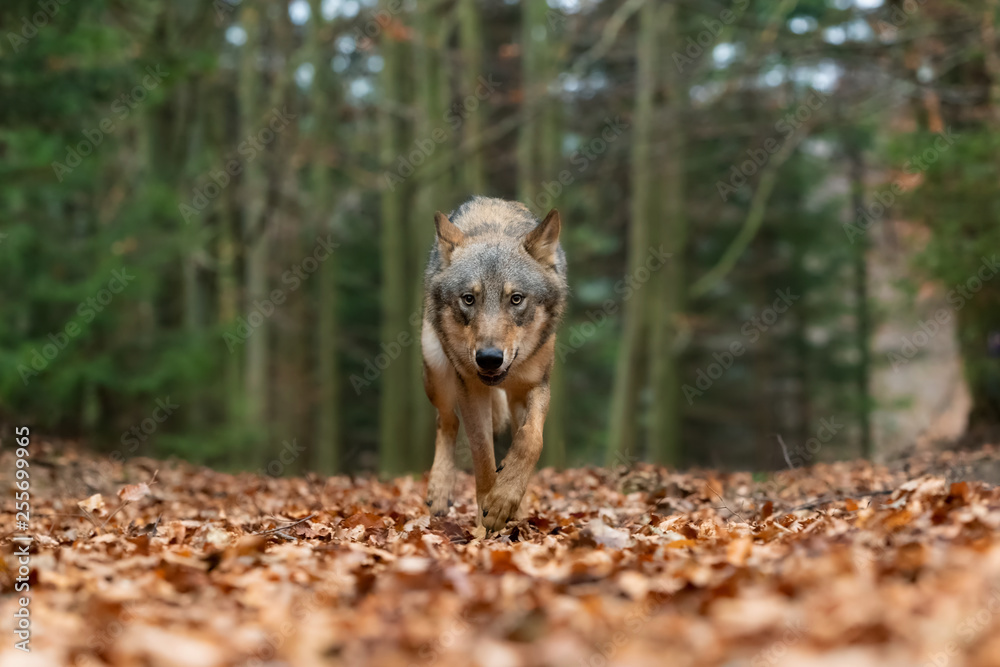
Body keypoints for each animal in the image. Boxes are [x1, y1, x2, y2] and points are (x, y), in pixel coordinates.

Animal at [421, 197, 567, 531]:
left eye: (516, 298)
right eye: (468, 299)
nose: (488, 359)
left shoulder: (535, 385)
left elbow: (530, 440)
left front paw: (505, 500)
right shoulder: (471, 388)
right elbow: (483, 455)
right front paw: (488, 512)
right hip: (436, 369)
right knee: (447, 421)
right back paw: (439, 492)